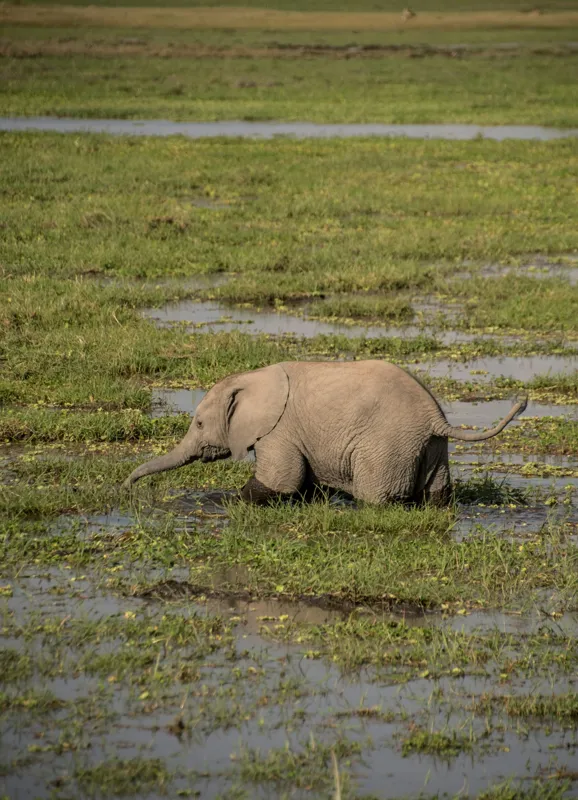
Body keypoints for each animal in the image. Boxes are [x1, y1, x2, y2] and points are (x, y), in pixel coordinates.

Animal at [123, 360, 527, 506]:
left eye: (199, 424)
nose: (126, 486)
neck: (253, 377)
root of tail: (434, 418)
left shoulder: (278, 431)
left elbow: (279, 481)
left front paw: (228, 502)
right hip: (431, 447)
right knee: (437, 494)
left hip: (386, 446)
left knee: (374, 496)